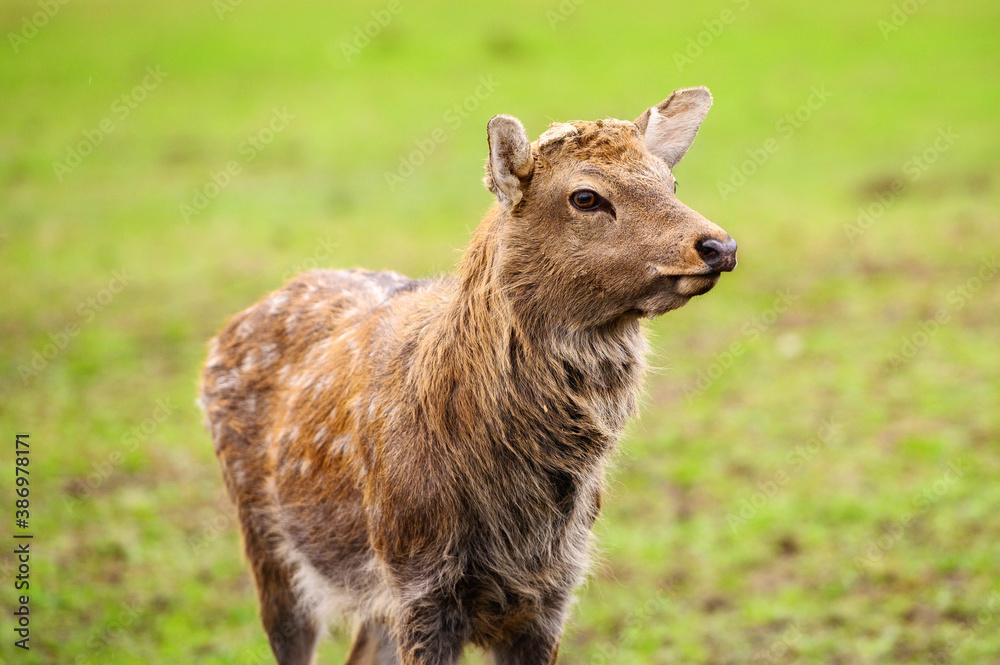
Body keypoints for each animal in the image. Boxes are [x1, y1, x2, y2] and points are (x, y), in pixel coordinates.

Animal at [199, 86, 737, 665]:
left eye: (671, 183)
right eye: (586, 197)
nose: (719, 246)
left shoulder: (555, 590)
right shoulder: (419, 581)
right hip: (268, 538)